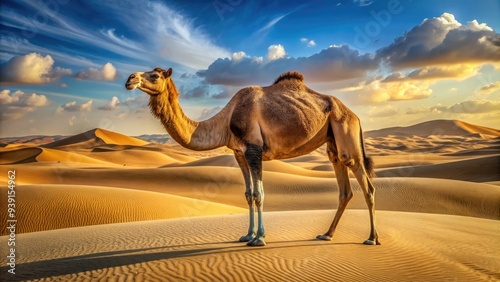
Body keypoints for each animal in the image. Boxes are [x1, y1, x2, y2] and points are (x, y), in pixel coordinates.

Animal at [125, 67, 378, 246]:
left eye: (155, 75)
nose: (130, 79)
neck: (226, 121)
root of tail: (355, 115)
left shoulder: (254, 150)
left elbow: (259, 194)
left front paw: (260, 238)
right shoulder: (240, 153)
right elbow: (248, 195)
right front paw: (247, 235)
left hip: (346, 133)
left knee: (367, 186)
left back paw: (372, 238)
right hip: (333, 143)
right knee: (344, 189)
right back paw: (327, 234)